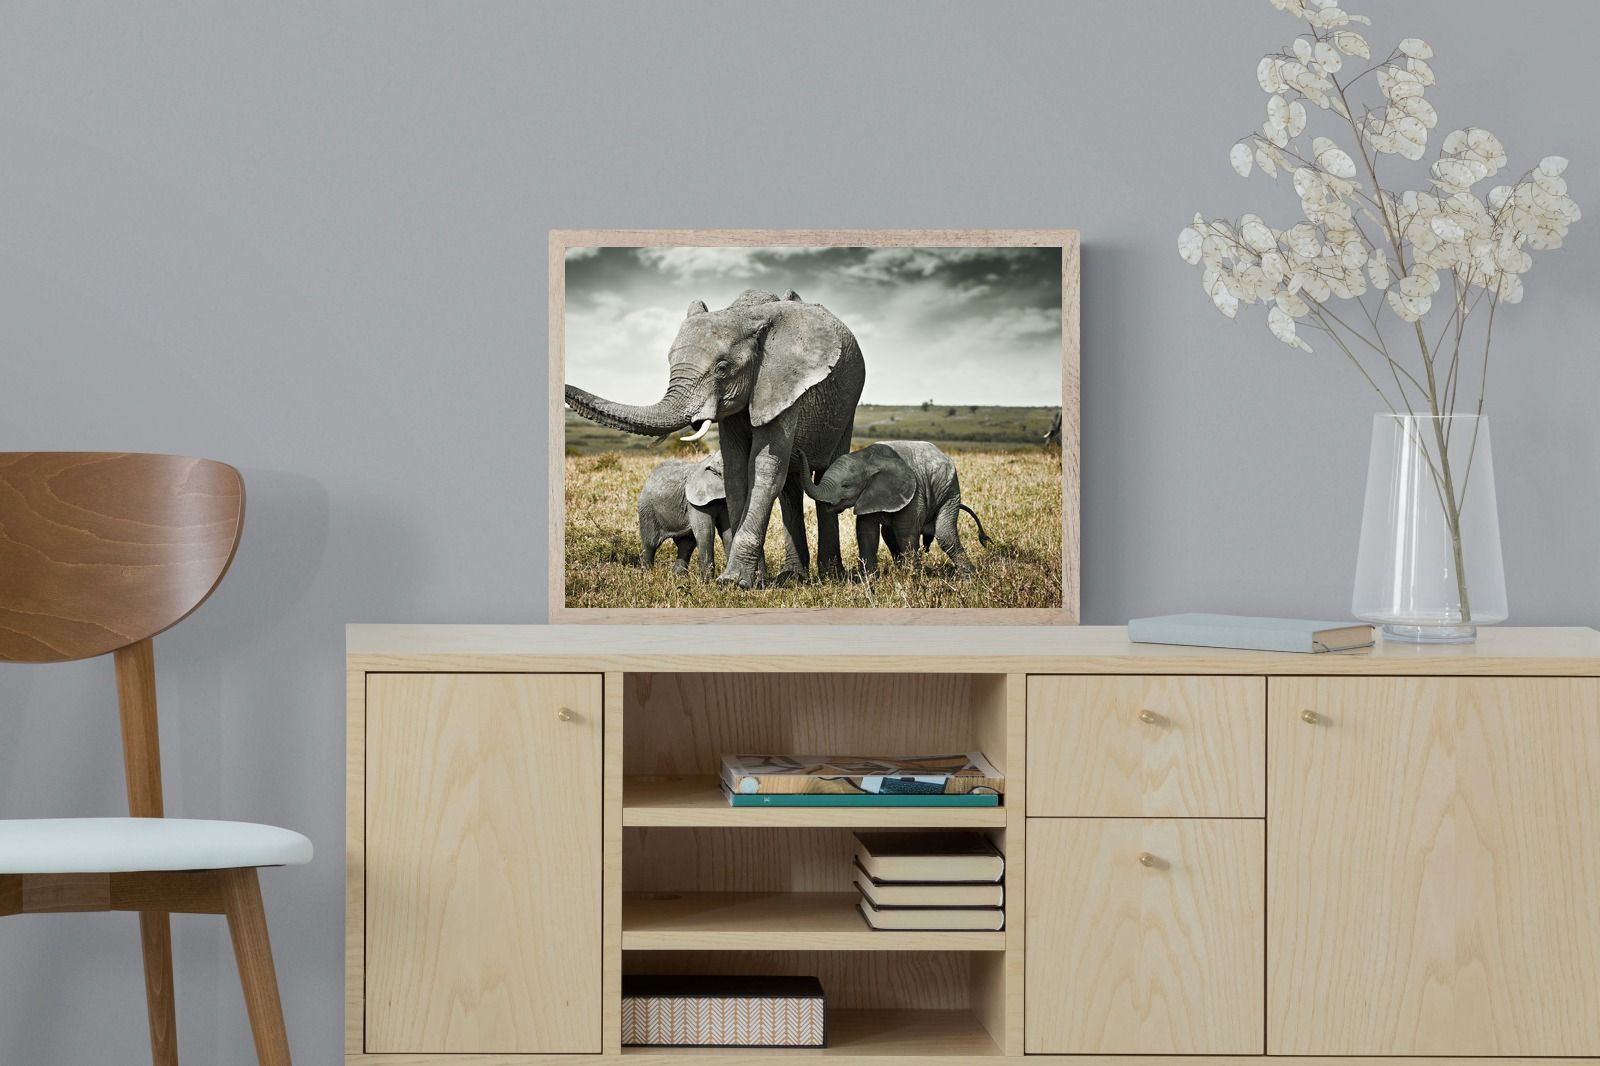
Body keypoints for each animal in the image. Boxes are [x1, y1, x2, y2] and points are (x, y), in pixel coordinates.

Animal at [636, 451, 730, 579]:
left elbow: (727, 533)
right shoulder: (696, 502)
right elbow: (706, 532)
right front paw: (706, 582)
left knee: (686, 545)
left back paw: (678, 578)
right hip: (647, 509)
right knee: (650, 543)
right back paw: (647, 576)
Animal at [799, 440, 991, 576]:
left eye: (846, 485)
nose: (799, 451)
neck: (867, 459)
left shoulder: (913, 493)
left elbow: (906, 533)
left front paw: (914, 578)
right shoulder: (869, 494)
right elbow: (866, 532)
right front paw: (870, 579)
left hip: (950, 491)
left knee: (945, 535)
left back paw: (969, 577)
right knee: (888, 534)